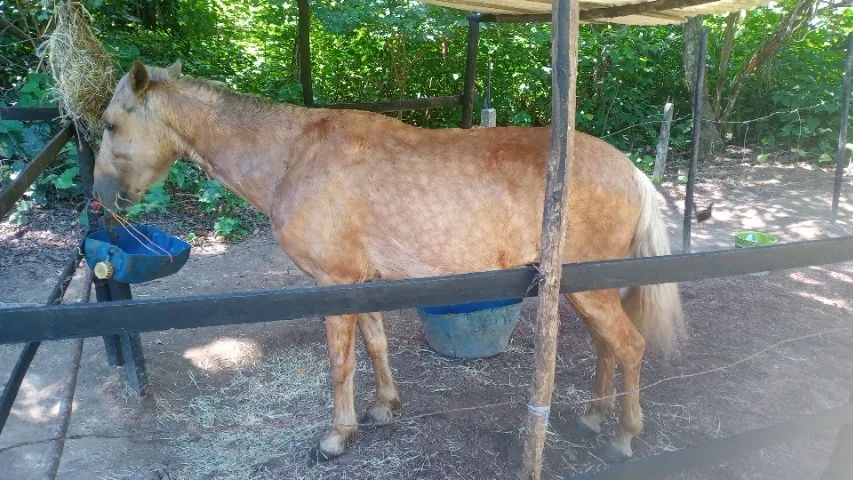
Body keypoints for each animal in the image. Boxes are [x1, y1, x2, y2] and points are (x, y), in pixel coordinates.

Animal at [93, 60, 684, 463]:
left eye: (110, 124)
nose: (99, 197)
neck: (295, 156)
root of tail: (631, 170)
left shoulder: (333, 283)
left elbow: (339, 365)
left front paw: (337, 436)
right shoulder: (363, 282)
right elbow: (375, 345)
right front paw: (383, 407)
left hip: (592, 290)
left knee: (629, 346)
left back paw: (623, 435)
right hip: (586, 288)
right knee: (608, 347)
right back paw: (593, 418)